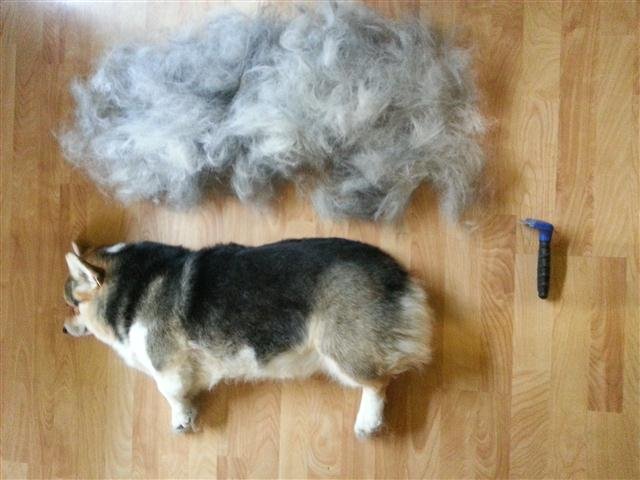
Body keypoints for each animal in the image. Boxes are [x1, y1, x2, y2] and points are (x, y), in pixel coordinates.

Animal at [62, 238, 432, 436]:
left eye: (73, 305)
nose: (62, 329)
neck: (132, 288)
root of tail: (396, 272)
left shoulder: (166, 365)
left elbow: (171, 395)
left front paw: (181, 421)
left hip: (340, 350)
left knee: (378, 382)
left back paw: (368, 421)